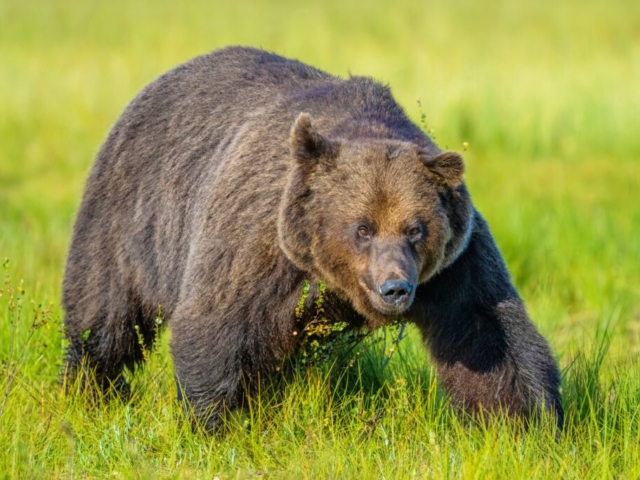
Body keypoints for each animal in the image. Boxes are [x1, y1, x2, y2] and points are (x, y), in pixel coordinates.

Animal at [62, 47, 564, 432]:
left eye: (416, 229)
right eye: (362, 228)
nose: (395, 288)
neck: (331, 279)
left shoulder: (454, 265)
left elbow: (488, 333)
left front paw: (526, 427)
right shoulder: (260, 240)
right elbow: (216, 323)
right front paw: (212, 424)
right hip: (128, 217)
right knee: (103, 317)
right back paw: (91, 390)